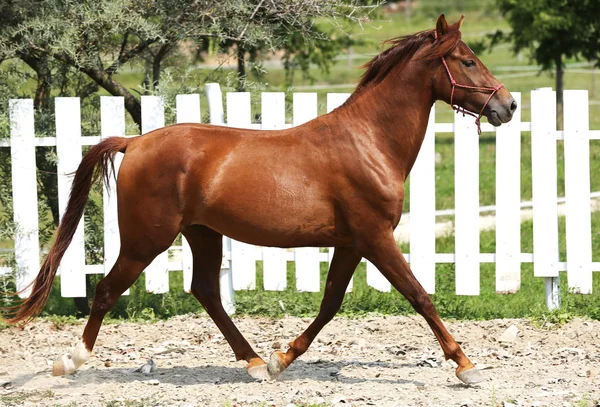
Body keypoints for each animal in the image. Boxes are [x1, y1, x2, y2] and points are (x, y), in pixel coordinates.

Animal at [4, 13, 516, 386]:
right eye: (467, 61)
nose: (507, 106)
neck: (368, 142)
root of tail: (135, 143)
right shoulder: (375, 238)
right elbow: (419, 296)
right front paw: (466, 365)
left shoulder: (352, 243)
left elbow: (331, 303)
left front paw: (280, 359)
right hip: (146, 240)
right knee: (109, 290)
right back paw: (70, 362)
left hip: (202, 234)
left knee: (206, 291)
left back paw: (252, 363)